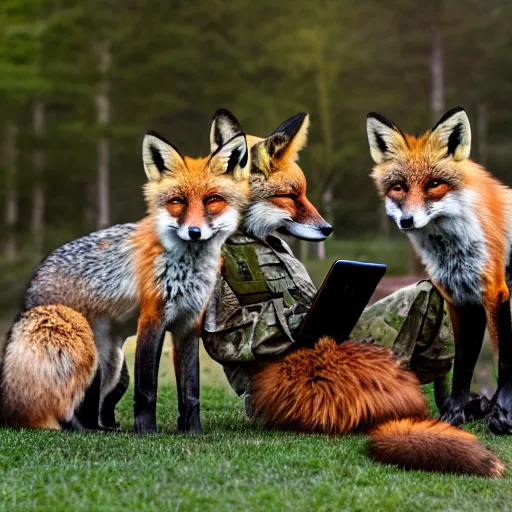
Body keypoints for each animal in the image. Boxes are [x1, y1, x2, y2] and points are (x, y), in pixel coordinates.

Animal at [1, 108, 250, 432]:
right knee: (65, 411)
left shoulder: (187, 325)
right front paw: (147, 433)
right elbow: (147, 389)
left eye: (213, 200)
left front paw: (193, 432)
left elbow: (191, 392)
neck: (187, 270)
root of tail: (32, 287)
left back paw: (104, 428)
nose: (194, 232)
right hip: (79, 337)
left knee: (93, 406)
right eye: (177, 202)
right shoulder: (152, 318)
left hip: (113, 364)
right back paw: (85, 431)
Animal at [366, 108, 512, 436]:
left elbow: (503, 363)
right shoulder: (459, 298)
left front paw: (503, 414)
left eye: (434, 184)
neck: (452, 252)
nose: (407, 221)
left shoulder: (495, 293)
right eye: (399, 188)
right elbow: (463, 366)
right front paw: (454, 414)